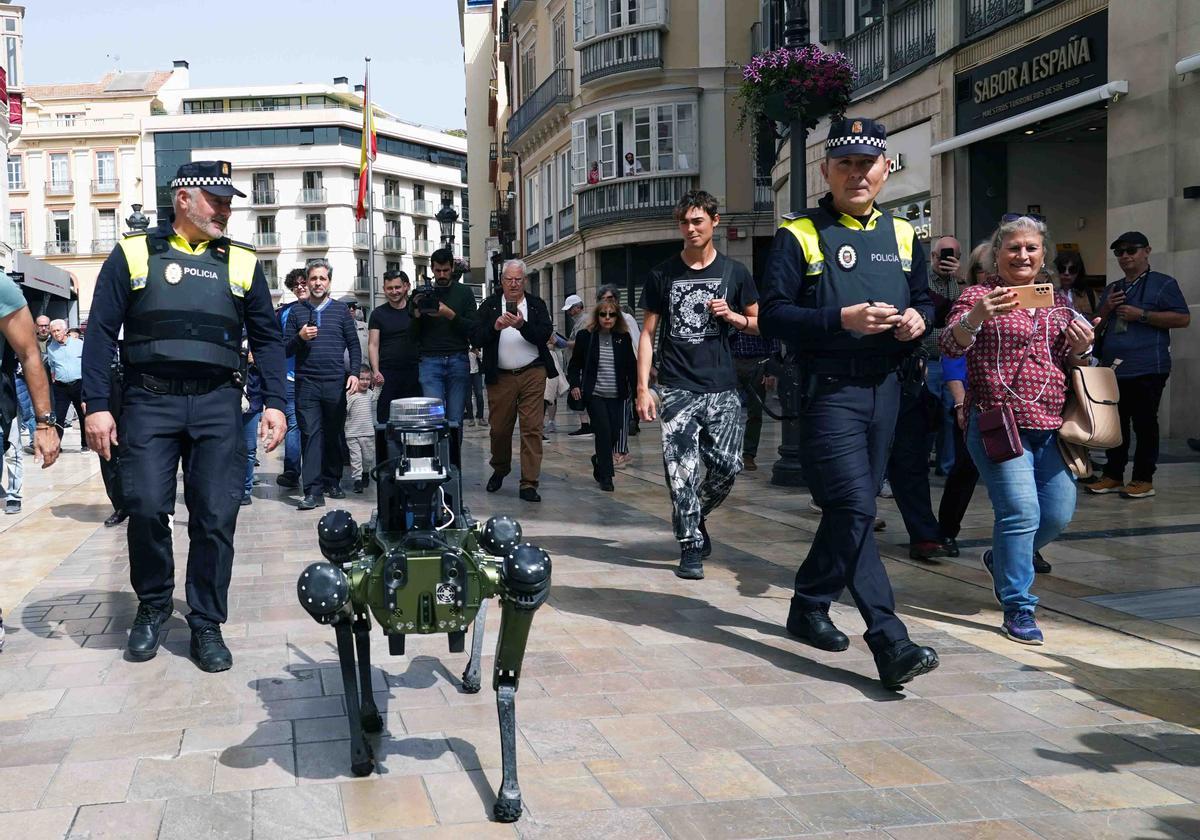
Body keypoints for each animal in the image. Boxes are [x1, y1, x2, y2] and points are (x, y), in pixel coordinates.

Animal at [297, 398, 549, 820]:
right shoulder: (352, 578)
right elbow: (348, 635)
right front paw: (361, 754)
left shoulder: (505, 573)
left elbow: (507, 680)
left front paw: (509, 792)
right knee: (360, 629)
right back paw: (371, 715)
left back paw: (470, 673)